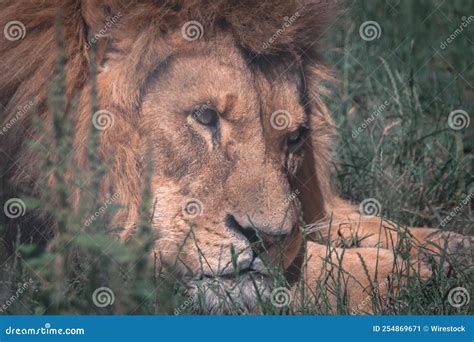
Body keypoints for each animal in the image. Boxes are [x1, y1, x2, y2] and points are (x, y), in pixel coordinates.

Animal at [0, 0, 470, 316]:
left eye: (295, 137)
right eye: (206, 116)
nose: (268, 238)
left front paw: (444, 245)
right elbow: (305, 268)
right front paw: (407, 274)